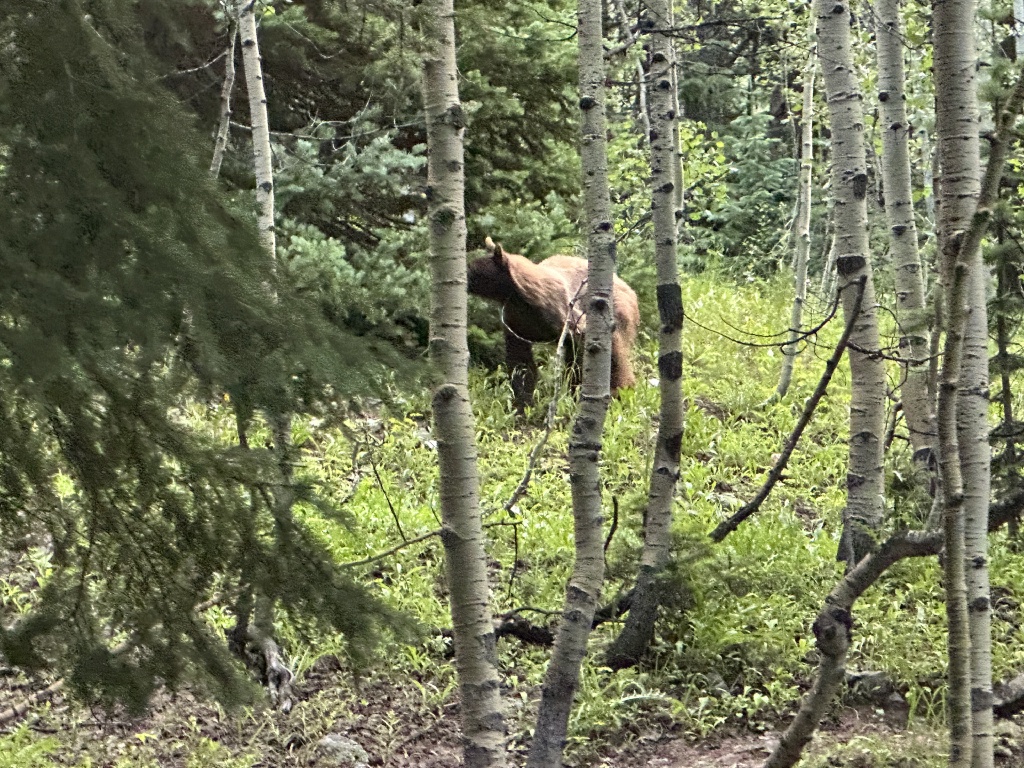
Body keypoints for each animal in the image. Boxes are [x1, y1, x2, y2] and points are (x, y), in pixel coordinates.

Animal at [467, 237, 640, 411]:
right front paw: (523, 404)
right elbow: (520, 362)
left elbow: (582, 347)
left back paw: (620, 390)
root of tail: (629, 288)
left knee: (616, 353)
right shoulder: (516, 321)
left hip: (616, 313)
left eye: (472, 268)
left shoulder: (562, 312)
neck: (517, 297)